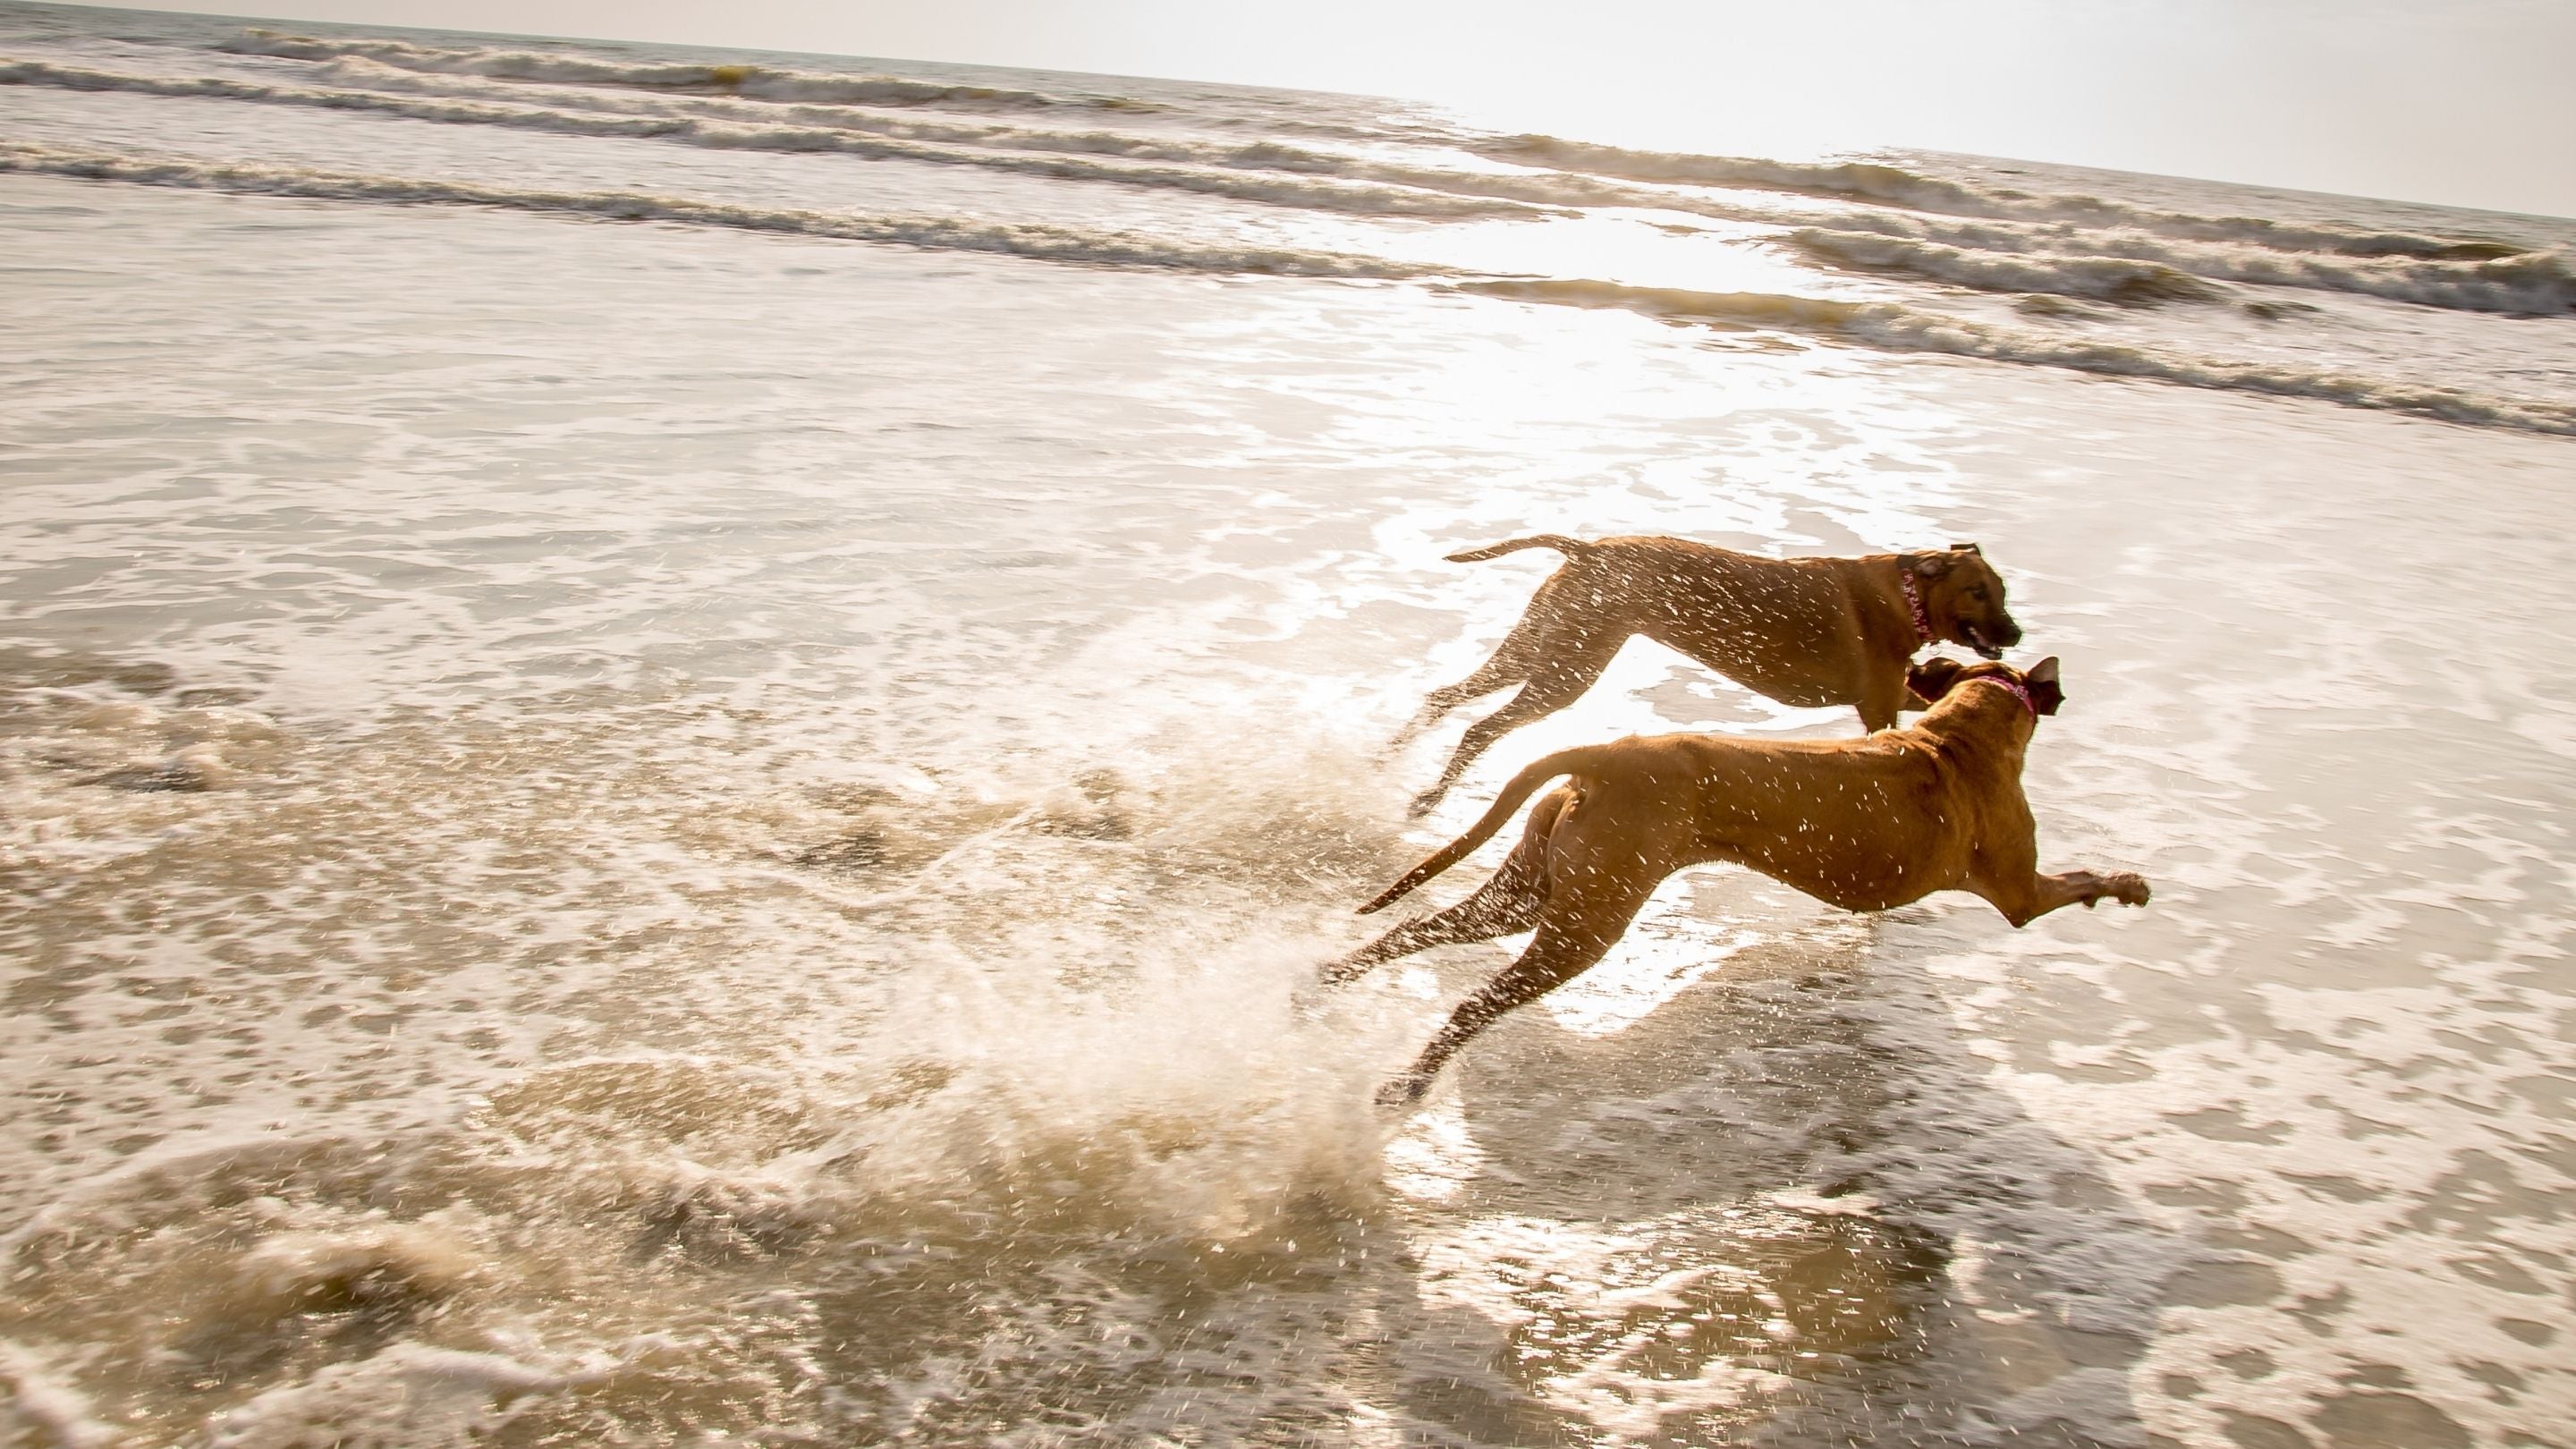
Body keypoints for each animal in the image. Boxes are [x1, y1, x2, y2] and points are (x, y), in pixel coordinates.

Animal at [1339, 655, 2143, 1103]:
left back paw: (1324, 980)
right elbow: (2076, 880)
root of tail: (1608, 753)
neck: (1952, 738)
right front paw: (2128, 884)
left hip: (1532, 889)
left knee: (1417, 928)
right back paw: (1409, 1080)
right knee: (1474, 1002)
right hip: (1586, 923)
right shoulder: (2020, 892)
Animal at [1401, 538, 2019, 819]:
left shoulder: (1892, 694)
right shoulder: (1879, 705)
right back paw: (1427, 798)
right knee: (1481, 727)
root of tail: (1590, 546)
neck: (1908, 592)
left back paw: (1392, 759)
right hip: (1566, 668)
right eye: (1977, 591)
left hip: (1541, 646)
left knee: (1446, 697)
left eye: (2002, 591)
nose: (2014, 632)